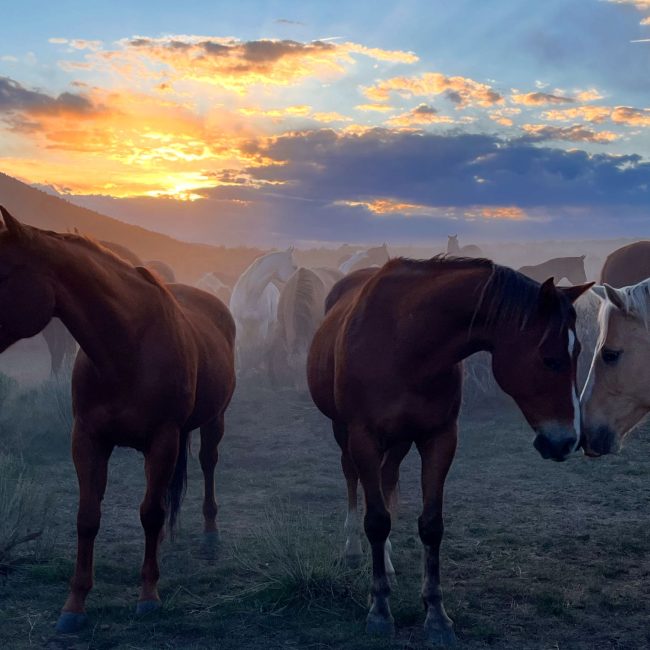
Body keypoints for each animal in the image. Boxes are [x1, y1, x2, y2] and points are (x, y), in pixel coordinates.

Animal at [0, 207, 236, 633]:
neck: (125, 349)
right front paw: (74, 605)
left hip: (214, 421)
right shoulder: (88, 439)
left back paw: (210, 534)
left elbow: (150, 513)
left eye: (3, 272)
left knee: (207, 464)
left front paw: (148, 596)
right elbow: (88, 516)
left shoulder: (163, 438)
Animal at [307, 256, 592, 645]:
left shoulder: (440, 438)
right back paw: (352, 550)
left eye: (577, 352)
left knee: (386, 478)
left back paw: (388, 563)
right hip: (343, 431)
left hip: (399, 441)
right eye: (549, 359)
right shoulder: (363, 436)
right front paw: (379, 610)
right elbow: (376, 520)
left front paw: (436, 615)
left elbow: (430, 525)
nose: (566, 441)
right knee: (353, 478)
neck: (405, 343)